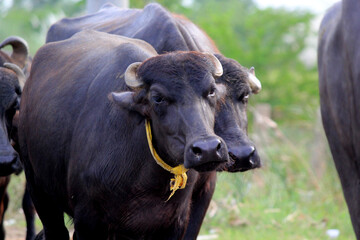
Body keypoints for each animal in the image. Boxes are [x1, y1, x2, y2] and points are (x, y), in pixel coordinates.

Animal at [18, 30, 229, 240]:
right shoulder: (87, 221)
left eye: (211, 91)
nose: (208, 149)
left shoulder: (177, 222)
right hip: (38, 188)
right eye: (157, 98)